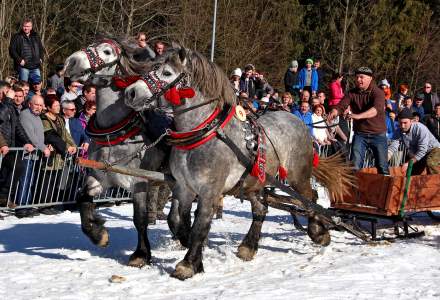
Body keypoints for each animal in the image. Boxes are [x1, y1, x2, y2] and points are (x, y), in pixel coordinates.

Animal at [63, 38, 168, 268]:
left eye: (107, 51)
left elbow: (139, 218)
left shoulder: (139, 182)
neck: (115, 133)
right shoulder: (99, 177)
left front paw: (141, 254)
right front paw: (98, 234)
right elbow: (82, 198)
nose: (71, 62)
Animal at [124, 46, 354, 278]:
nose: (130, 92)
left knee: (309, 198)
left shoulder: (210, 190)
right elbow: (179, 220)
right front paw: (193, 252)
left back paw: (318, 232)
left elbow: (200, 224)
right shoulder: (184, 187)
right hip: (255, 182)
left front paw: (189, 264)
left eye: (167, 73)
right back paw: (248, 247)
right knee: (261, 209)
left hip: (297, 175)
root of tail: (298, 120)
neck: (204, 132)